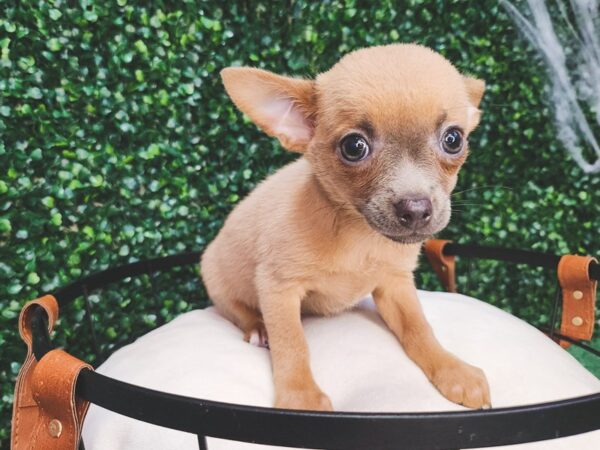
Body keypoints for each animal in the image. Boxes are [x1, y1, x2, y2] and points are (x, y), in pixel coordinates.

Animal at [199, 44, 490, 412]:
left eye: (453, 139)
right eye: (354, 146)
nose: (416, 209)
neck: (359, 235)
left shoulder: (395, 285)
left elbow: (419, 328)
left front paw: (452, 369)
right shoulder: (278, 288)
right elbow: (291, 344)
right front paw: (301, 397)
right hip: (218, 279)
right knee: (237, 310)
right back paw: (257, 328)